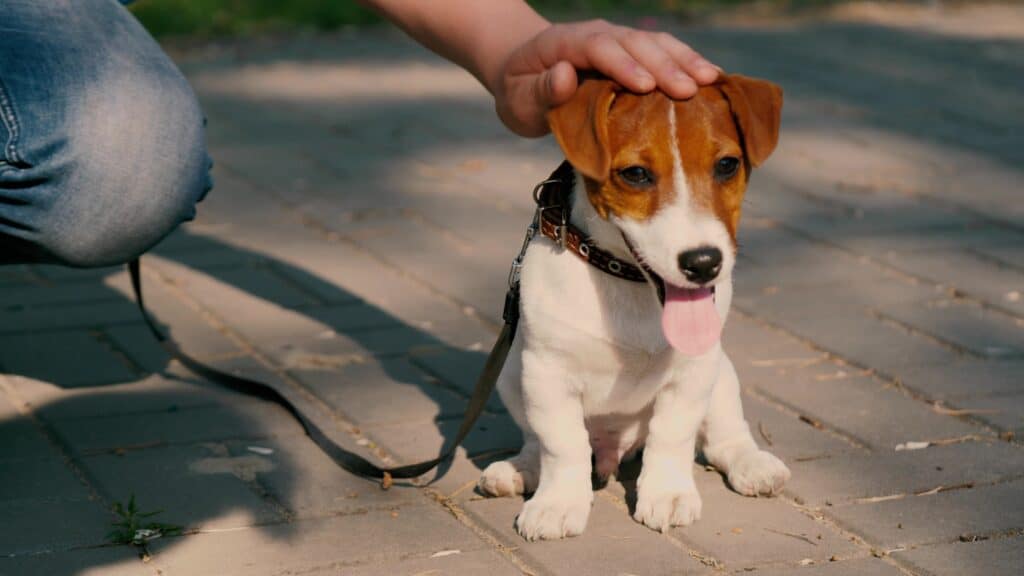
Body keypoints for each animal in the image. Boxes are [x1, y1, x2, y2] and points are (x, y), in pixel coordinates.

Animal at [479, 72, 790, 537]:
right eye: (636, 174)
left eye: (727, 165)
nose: (704, 263)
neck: (630, 285)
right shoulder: (547, 373)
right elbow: (562, 444)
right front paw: (558, 502)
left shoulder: (692, 373)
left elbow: (672, 435)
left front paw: (667, 494)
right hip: (513, 372)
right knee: (537, 440)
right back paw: (520, 470)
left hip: (721, 373)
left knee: (724, 435)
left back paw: (752, 464)